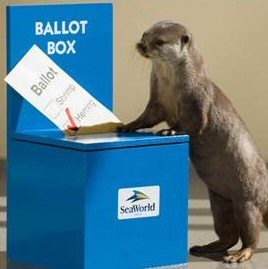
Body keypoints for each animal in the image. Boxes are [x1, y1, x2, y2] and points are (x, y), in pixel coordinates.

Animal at [119, 20, 268, 262]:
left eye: (159, 41)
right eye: (144, 34)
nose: (141, 45)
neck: (172, 88)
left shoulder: (198, 101)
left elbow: (193, 124)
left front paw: (169, 131)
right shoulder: (156, 101)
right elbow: (147, 117)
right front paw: (128, 124)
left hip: (248, 199)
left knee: (251, 232)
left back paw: (240, 254)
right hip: (219, 200)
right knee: (227, 233)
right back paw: (206, 247)